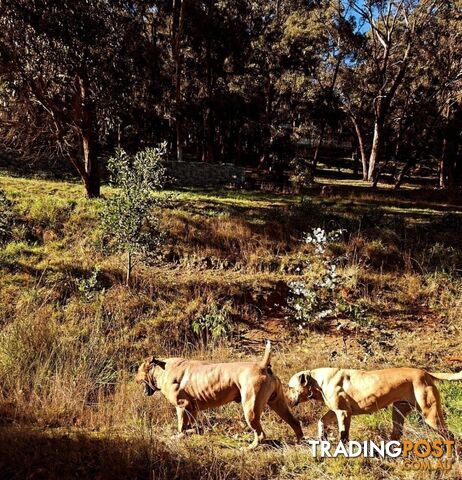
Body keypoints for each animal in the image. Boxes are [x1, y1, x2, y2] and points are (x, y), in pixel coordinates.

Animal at [136, 342, 304, 450]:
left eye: (138, 369)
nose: (134, 378)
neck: (161, 369)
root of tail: (263, 366)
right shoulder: (192, 409)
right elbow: (188, 426)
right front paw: (190, 433)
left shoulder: (182, 406)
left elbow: (181, 426)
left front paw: (179, 436)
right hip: (278, 403)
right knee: (295, 422)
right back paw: (300, 442)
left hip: (250, 409)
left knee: (261, 434)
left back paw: (249, 448)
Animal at [286, 368, 460, 442]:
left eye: (289, 387)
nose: (284, 399)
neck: (317, 381)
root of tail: (425, 373)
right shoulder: (335, 412)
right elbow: (321, 421)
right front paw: (322, 437)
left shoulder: (343, 413)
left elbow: (344, 436)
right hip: (398, 413)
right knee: (396, 435)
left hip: (431, 416)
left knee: (450, 436)